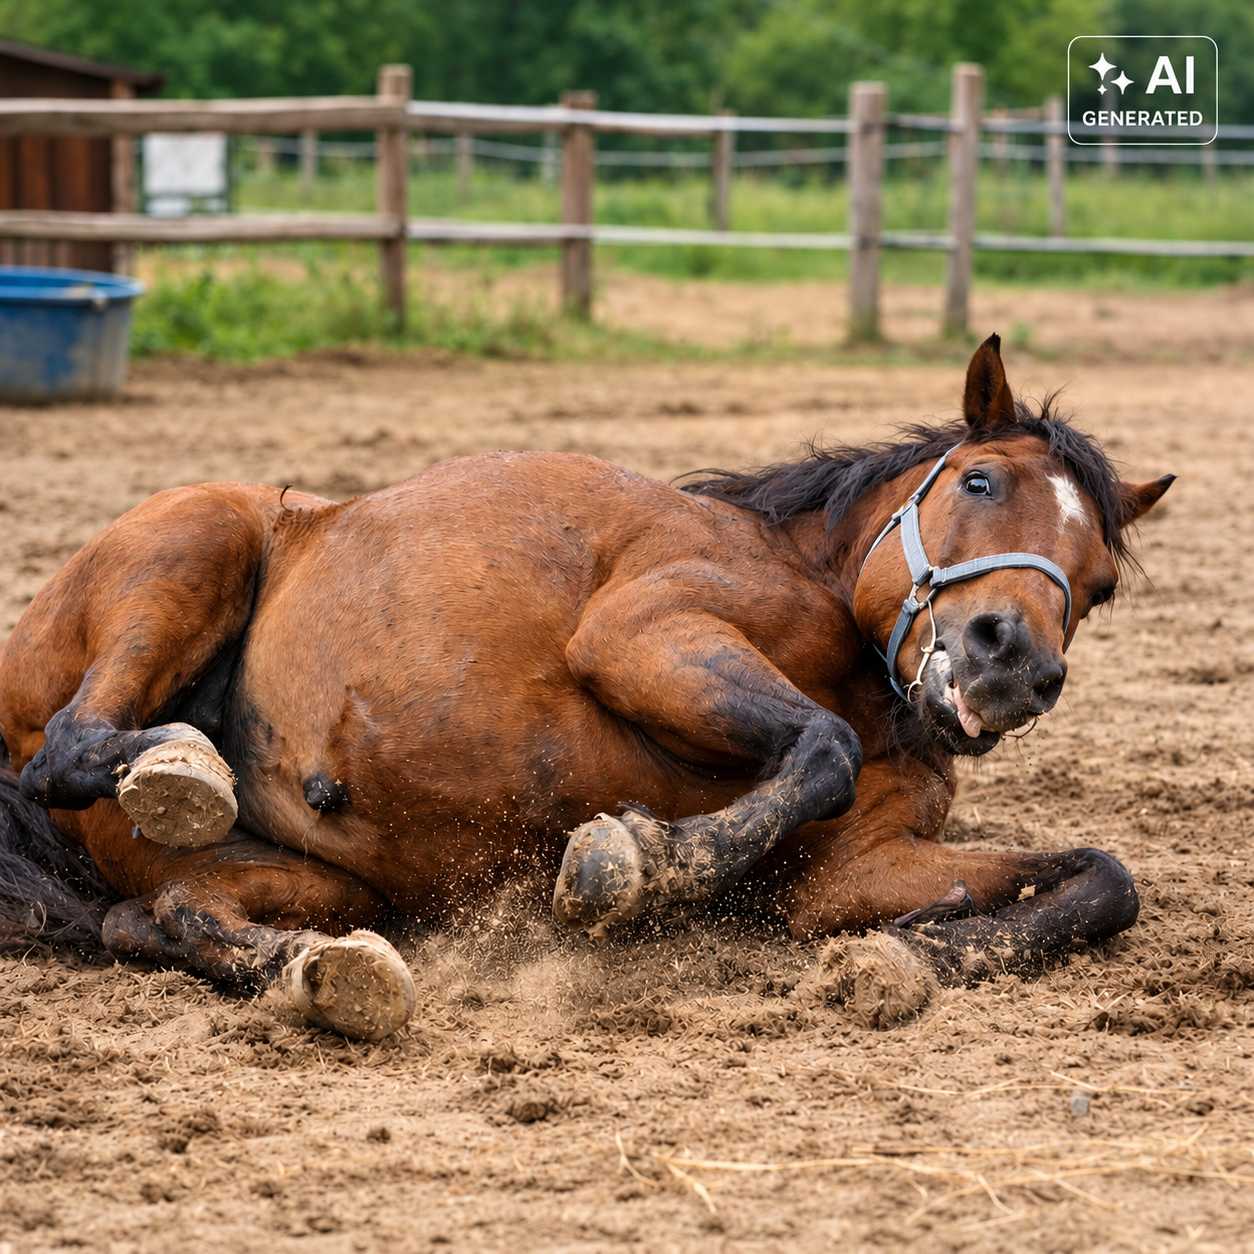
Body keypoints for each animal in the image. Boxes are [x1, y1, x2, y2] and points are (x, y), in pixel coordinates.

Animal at [0, 337, 1172, 1040]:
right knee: (74, 750)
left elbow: (1106, 880)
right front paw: (634, 863)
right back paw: (178, 768)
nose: (1011, 664)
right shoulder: (642, 634)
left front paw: (914, 955)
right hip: (196, 540)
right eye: (980, 480)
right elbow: (818, 750)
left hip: (324, 882)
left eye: (1101, 582)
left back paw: (322, 969)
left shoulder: (851, 872)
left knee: (165, 913)